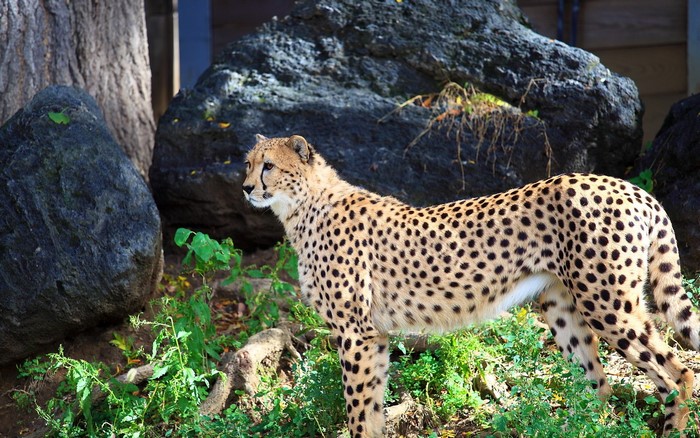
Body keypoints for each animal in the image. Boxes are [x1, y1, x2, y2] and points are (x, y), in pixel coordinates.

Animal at [242, 134, 699, 437]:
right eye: (247, 163)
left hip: (608, 303)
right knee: (598, 388)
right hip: (562, 306)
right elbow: (372, 404)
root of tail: (630, 187)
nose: (246, 188)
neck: (303, 207)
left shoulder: (355, 332)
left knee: (677, 372)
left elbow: (357, 407)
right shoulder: (375, 335)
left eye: (269, 166)